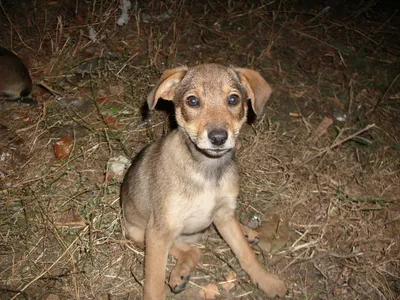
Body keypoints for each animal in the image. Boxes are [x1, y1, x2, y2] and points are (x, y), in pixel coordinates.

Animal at [120, 62, 286, 298]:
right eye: (192, 101)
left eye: (233, 99)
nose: (218, 138)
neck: (207, 171)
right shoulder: (159, 232)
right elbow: (153, 284)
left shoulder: (224, 212)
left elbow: (246, 255)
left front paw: (266, 280)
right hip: (139, 231)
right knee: (191, 251)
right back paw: (180, 274)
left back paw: (246, 232)